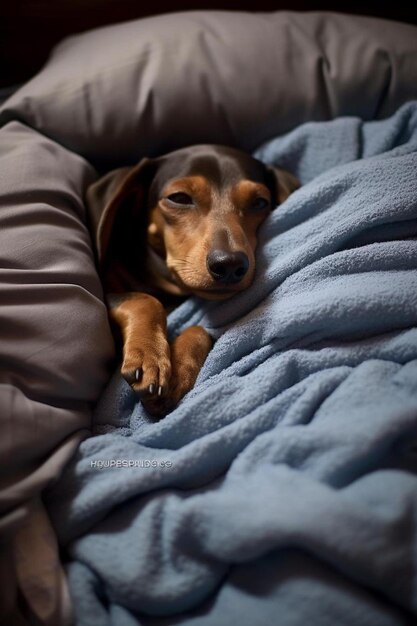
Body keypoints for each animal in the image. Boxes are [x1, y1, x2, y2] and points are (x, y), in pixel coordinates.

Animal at [86, 141, 298, 414]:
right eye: (179, 198)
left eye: (260, 203)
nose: (229, 264)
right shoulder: (106, 293)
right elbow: (145, 300)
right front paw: (150, 355)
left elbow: (199, 329)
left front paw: (179, 369)